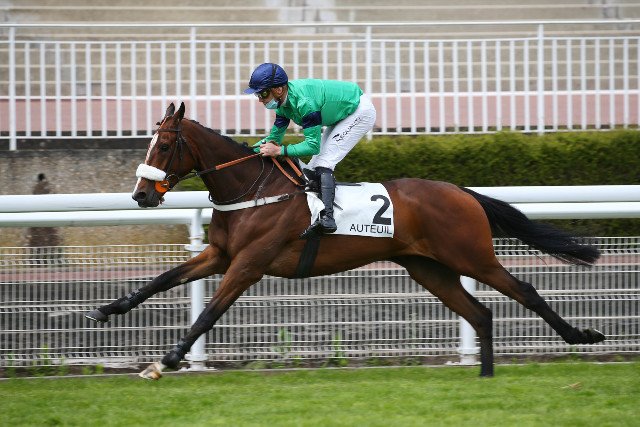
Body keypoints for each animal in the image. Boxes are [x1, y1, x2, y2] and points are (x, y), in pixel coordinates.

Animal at [86, 102, 604, 379]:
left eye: (164, 145)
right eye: (150, 143)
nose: (141, 194)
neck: (252, 189)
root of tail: (462, 191)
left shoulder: (249, 263)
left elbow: (211, 310)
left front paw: (170, 358)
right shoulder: (219, 254)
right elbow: (162, 279)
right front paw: (107, 310)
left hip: (473, 256)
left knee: (526, 291)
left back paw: (581, 336)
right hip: (430, 268)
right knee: (480, 313)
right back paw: (486, 373)